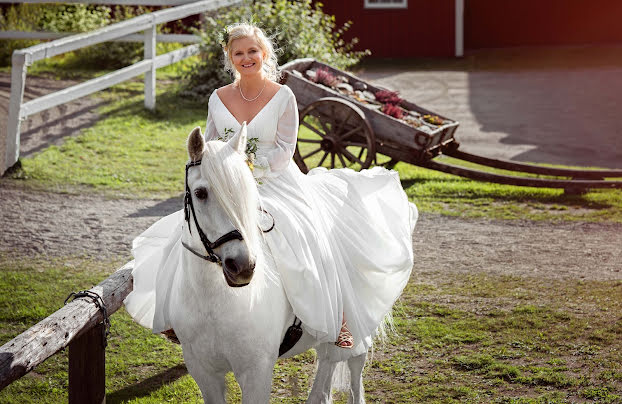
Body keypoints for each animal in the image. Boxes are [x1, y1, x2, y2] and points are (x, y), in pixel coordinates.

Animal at [166, 124, 372, 402]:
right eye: (200, 193)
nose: (243, 266)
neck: (213, 303)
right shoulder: (203, 371)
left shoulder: (257, 372)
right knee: (328, 360)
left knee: (355, 361)